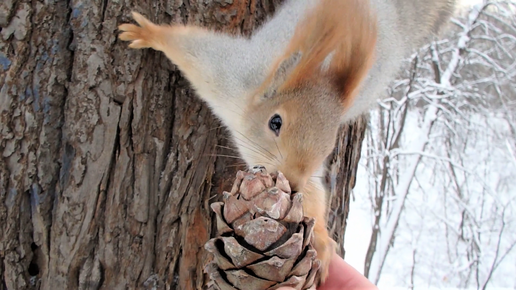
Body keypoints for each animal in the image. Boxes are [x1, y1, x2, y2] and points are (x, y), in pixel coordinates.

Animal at [118, 0, 456, 284]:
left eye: (328, 147)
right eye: (275, 122)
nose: (292, 183)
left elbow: (316, 190)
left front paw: (321, 241)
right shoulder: (230, 79)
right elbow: (192, 50)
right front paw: (146, 32)